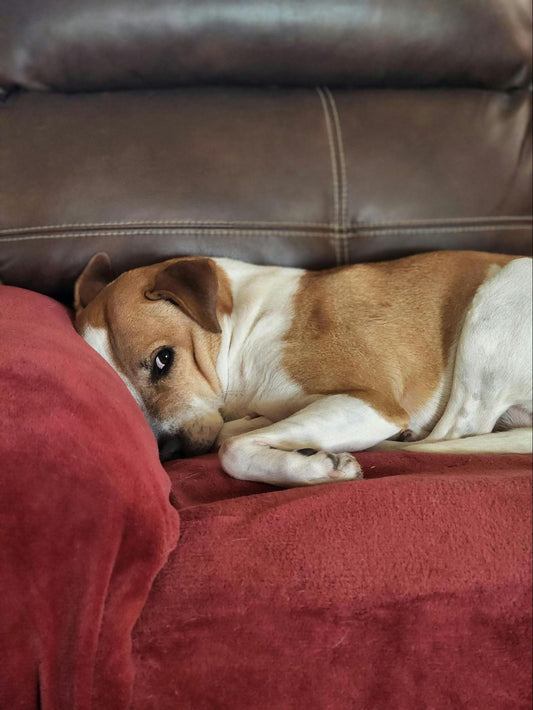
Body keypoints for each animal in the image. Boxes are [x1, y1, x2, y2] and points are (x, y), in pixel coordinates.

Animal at [72, 252, 528, 490]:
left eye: (164, 359)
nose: (167, 452)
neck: (245, 328)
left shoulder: (370, 403)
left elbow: (232, 450)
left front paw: (319, 468)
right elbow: (235, 431)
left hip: (497, 299)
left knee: (454, 432)